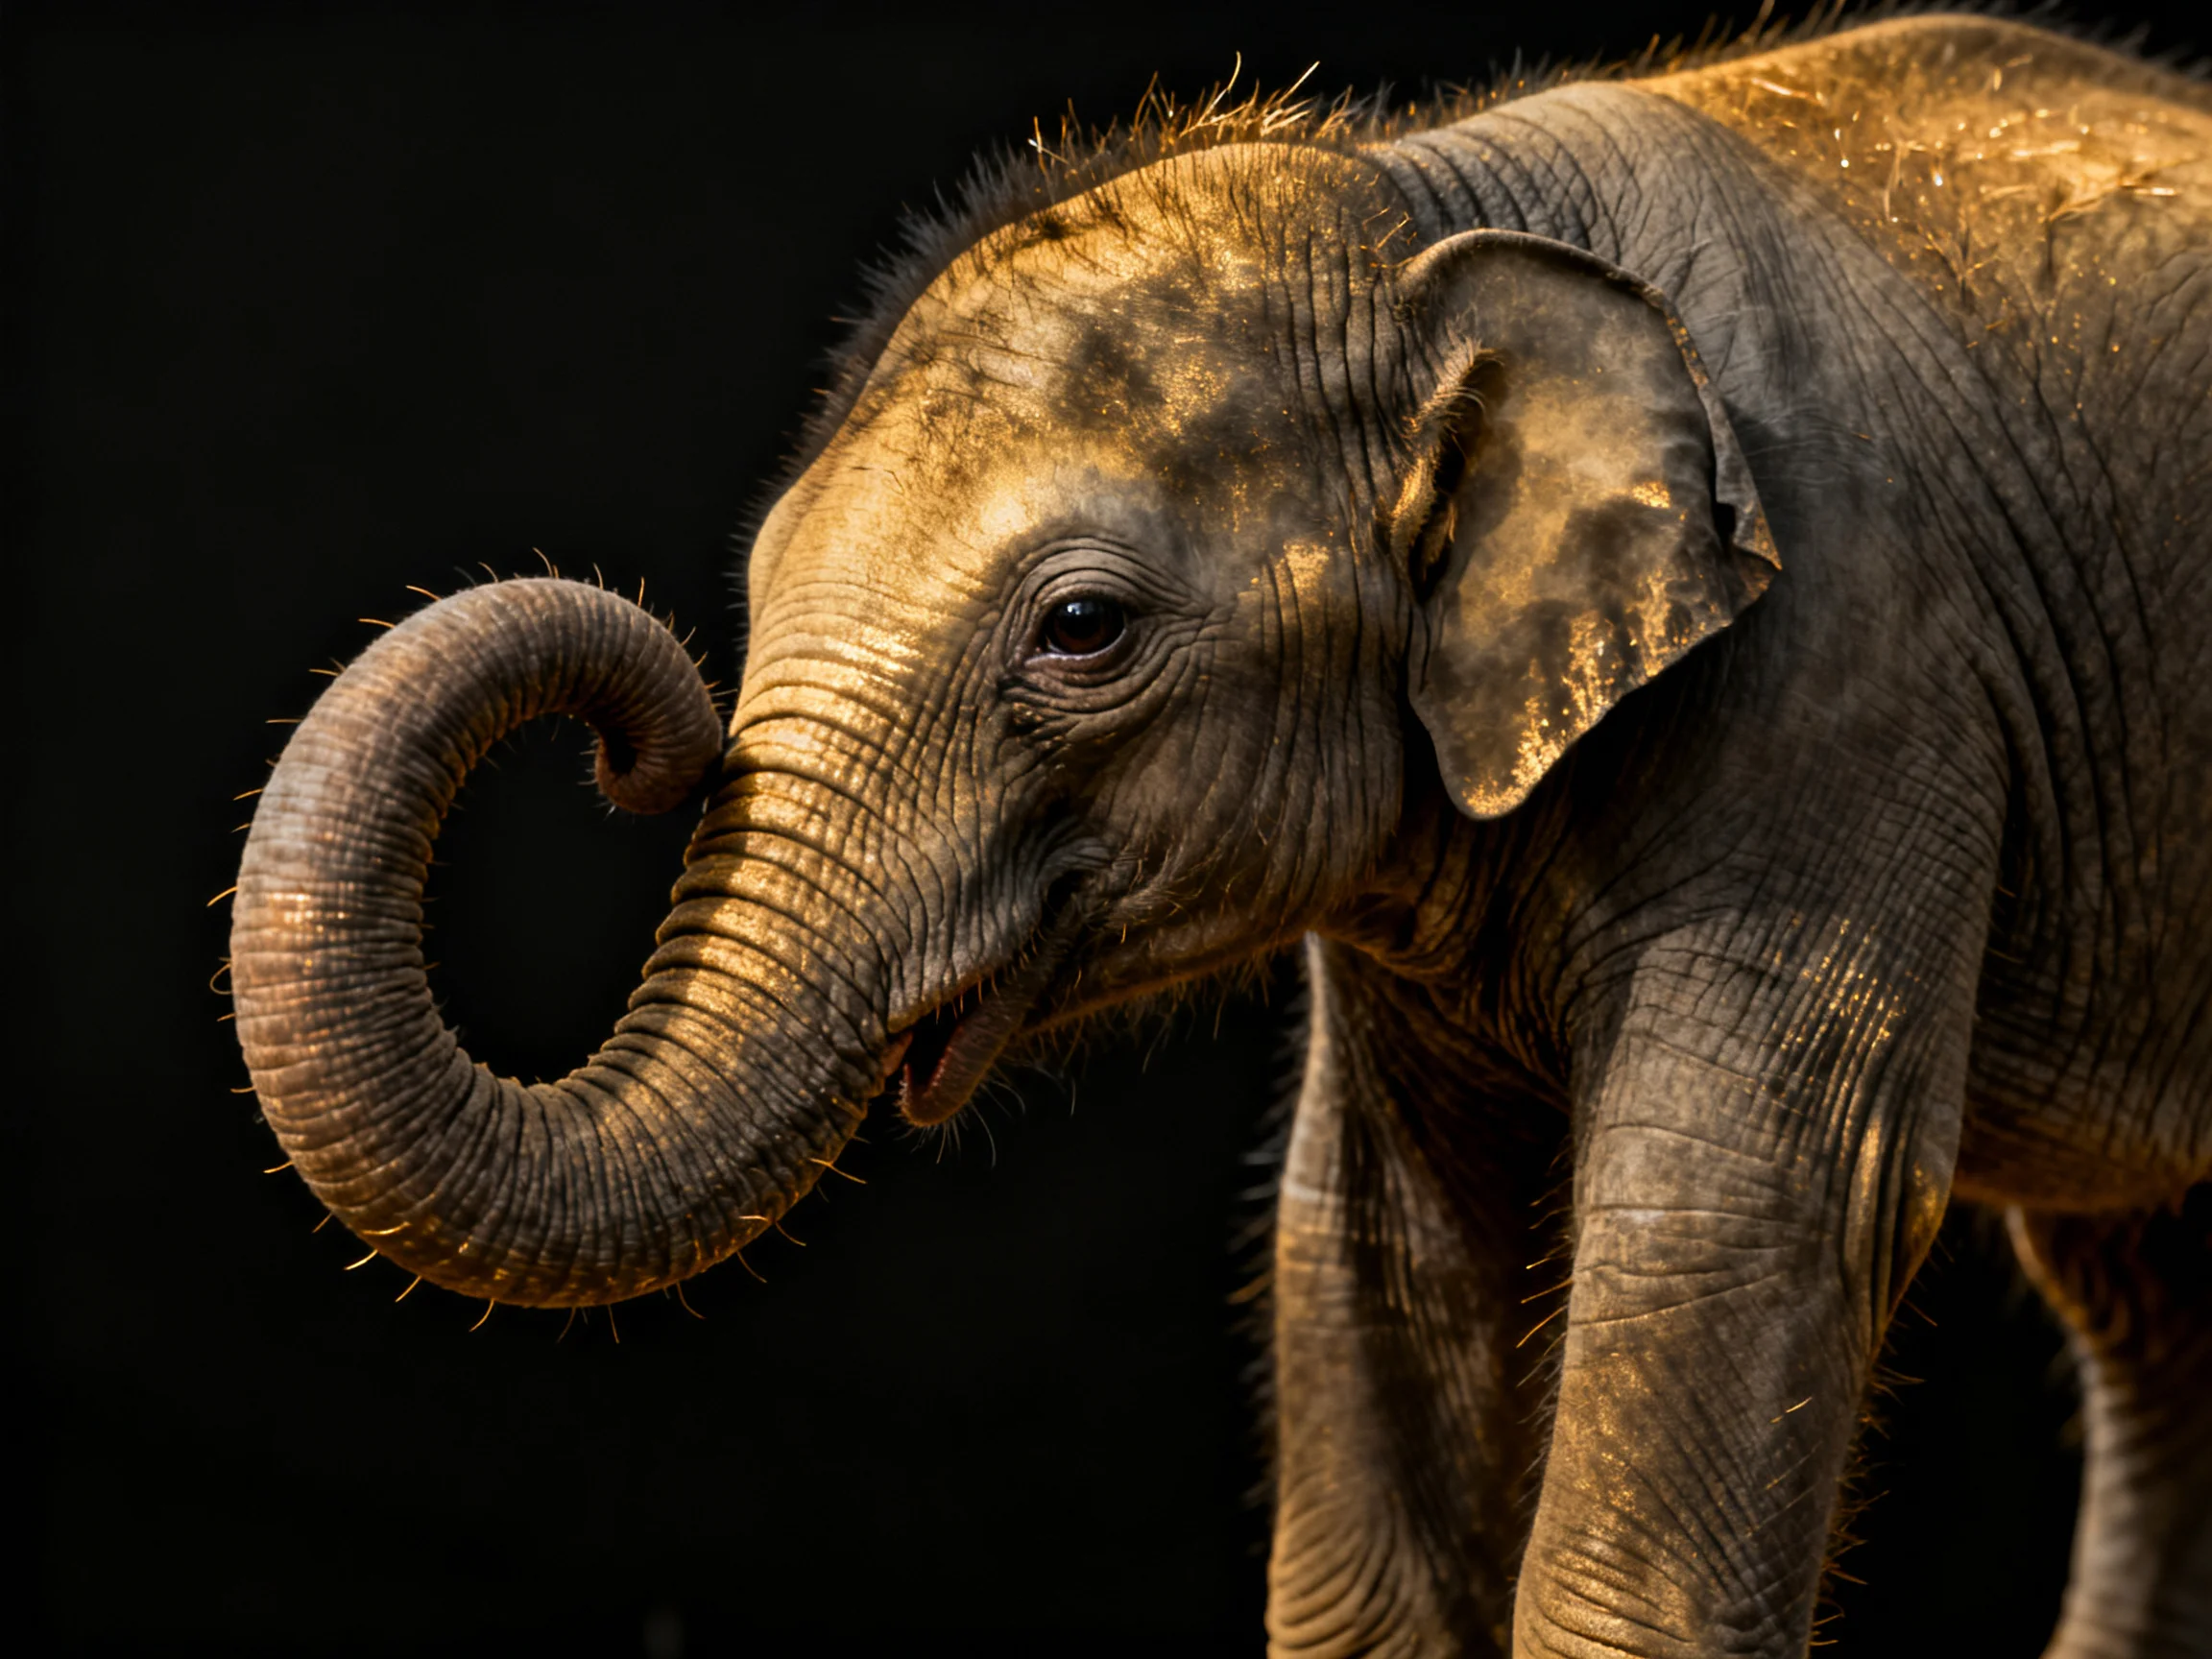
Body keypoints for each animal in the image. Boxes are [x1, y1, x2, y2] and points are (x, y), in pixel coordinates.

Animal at [228, 13, 2212, 1658]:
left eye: (1079, 628)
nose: (644, 736)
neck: (1423, 204)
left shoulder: (1845, 693)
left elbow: (1732, 1214)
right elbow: (1371, 1247)